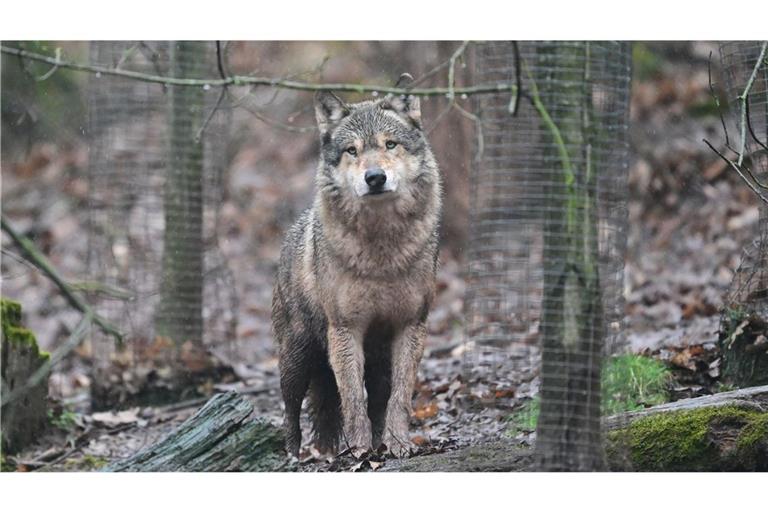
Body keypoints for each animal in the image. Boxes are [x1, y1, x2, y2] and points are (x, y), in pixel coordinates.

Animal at [271, 82, 442, 458]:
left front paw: (397, 444)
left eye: (390, 144)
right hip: (297, 357)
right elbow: (350, 398)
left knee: (374, 398)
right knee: (291, 409)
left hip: (376, 360)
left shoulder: (411, 326)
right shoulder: (345, 329)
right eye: (352, 150)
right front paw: (360, 450)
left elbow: (399, 398)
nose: (375, 177)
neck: (382, 253)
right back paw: (293, 454)